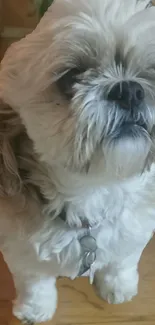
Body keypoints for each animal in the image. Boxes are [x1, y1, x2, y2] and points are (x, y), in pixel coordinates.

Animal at [0, 0, 155, 322]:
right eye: (71, 78)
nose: (129, 90)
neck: (93, 190)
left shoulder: (135, 230)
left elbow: (122, 261)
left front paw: (118, 287)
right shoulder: (22, 253)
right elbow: (36, 283)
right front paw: (36, 310)